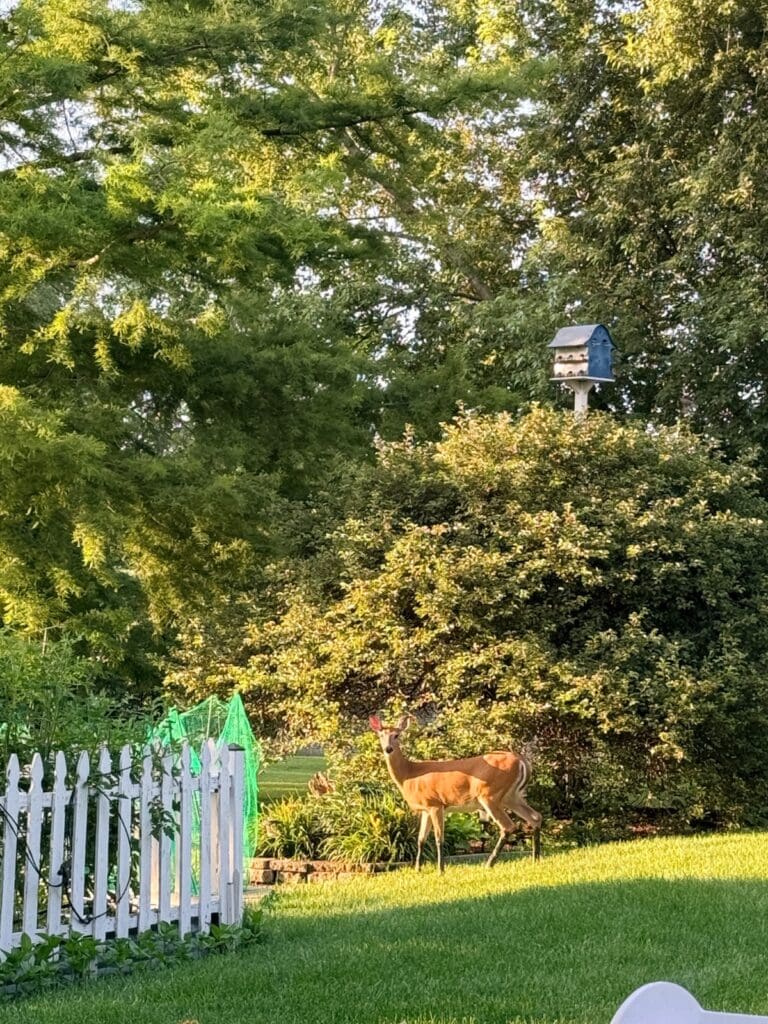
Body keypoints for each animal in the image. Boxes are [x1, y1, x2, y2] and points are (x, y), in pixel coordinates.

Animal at [370, 714, 541, 873]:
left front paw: (440, 870)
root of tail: (521, 761)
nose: (388, 749)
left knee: (508, 826)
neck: (409, 775)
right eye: (381, 735)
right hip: (511, 795)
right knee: (535, 817)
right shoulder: (425, 808)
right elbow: (421, 839)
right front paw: (417, 869)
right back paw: (535, 858)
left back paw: (489, 863)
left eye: (396, 735)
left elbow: (438, 838)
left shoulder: (435, 804)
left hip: (490, 794)